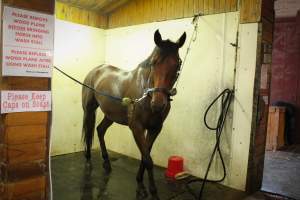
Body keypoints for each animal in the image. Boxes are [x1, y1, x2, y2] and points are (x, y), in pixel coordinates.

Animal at [81, 28, 186, 199]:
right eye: (154, 62)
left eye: (178, 64)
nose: (158, 104)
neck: (146, 93)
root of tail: (96, 70)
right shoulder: (136, 127)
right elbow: (148, 159)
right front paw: (151, 190)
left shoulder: (155, 128)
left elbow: (145, 155)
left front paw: (140, 182)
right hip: (89, 110)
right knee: (89, 131)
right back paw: (89, 159)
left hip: (111, 115)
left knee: (100, 130)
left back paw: (107, 163)